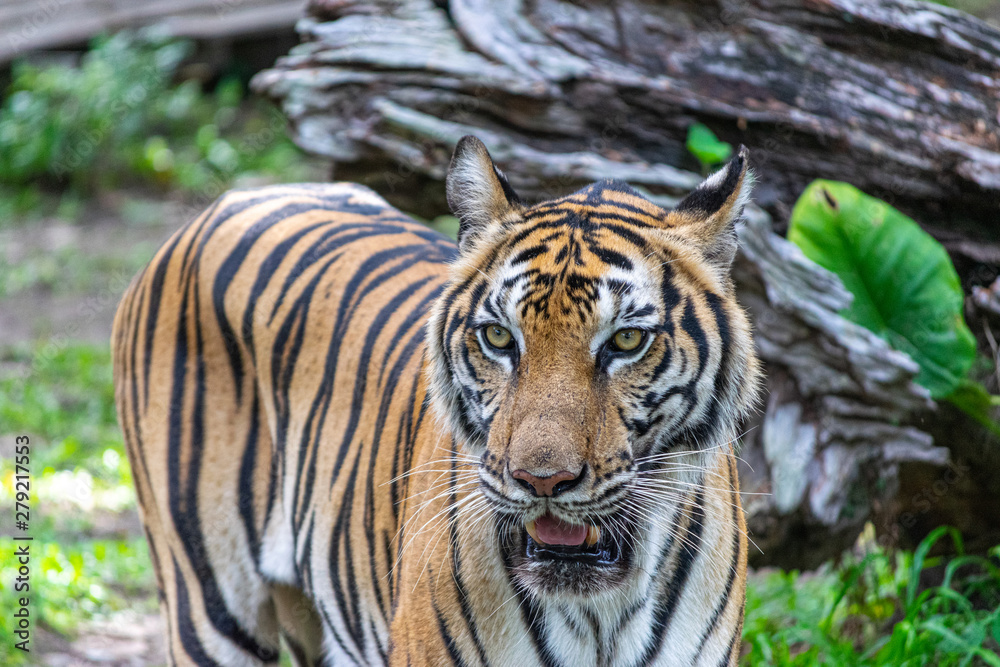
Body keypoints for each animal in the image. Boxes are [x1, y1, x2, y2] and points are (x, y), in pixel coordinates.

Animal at [111, 135, 762, 667]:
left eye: (626, 341)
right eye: (498, 337)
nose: (542, 481)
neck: (601, 616)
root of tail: (239, 198)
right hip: (207, 607)